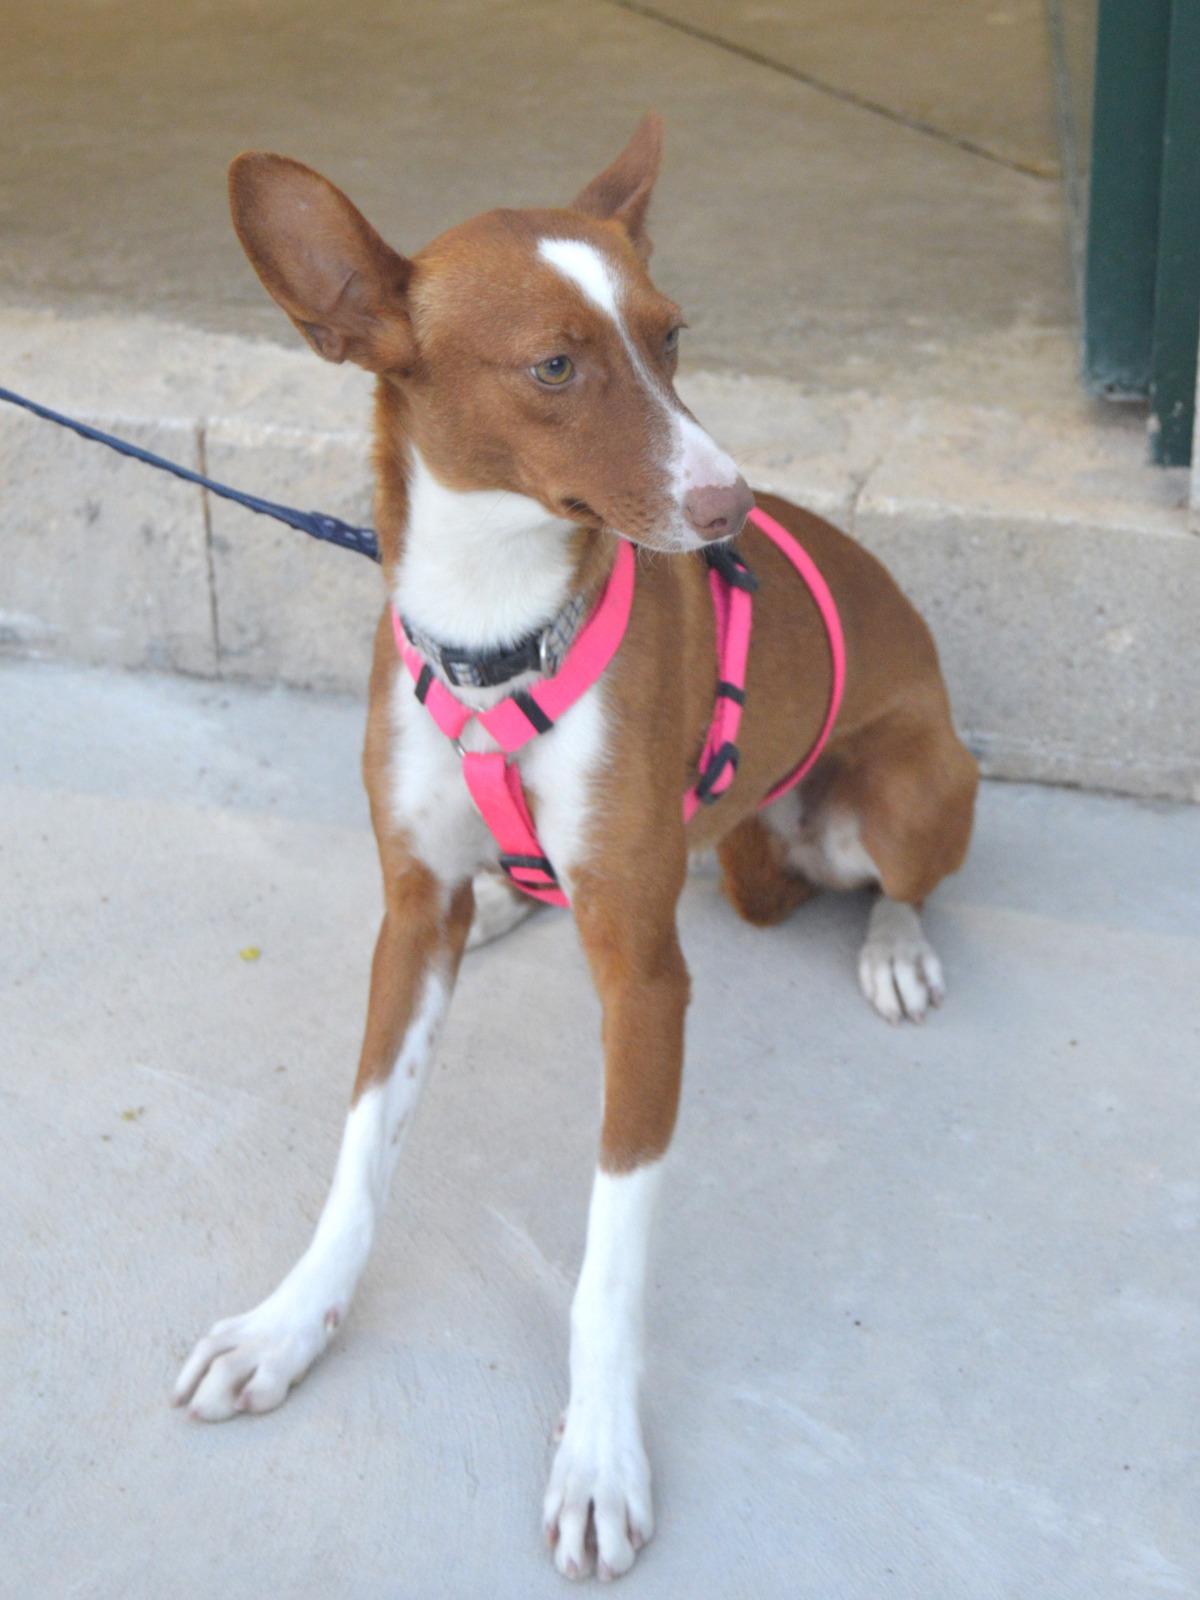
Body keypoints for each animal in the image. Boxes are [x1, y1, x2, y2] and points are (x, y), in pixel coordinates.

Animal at [173, 114, 977, 1580]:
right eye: (556, 364)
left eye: (672, 336)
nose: (728, 508)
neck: (492, 635)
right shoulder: (404, 913)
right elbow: (358, 1163)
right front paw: (288, 1324)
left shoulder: (647, 982)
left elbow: (610, 1251)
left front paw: (599, 1455)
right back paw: (507, 902)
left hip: (901, 791)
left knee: (902, 879)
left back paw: (895, 947)